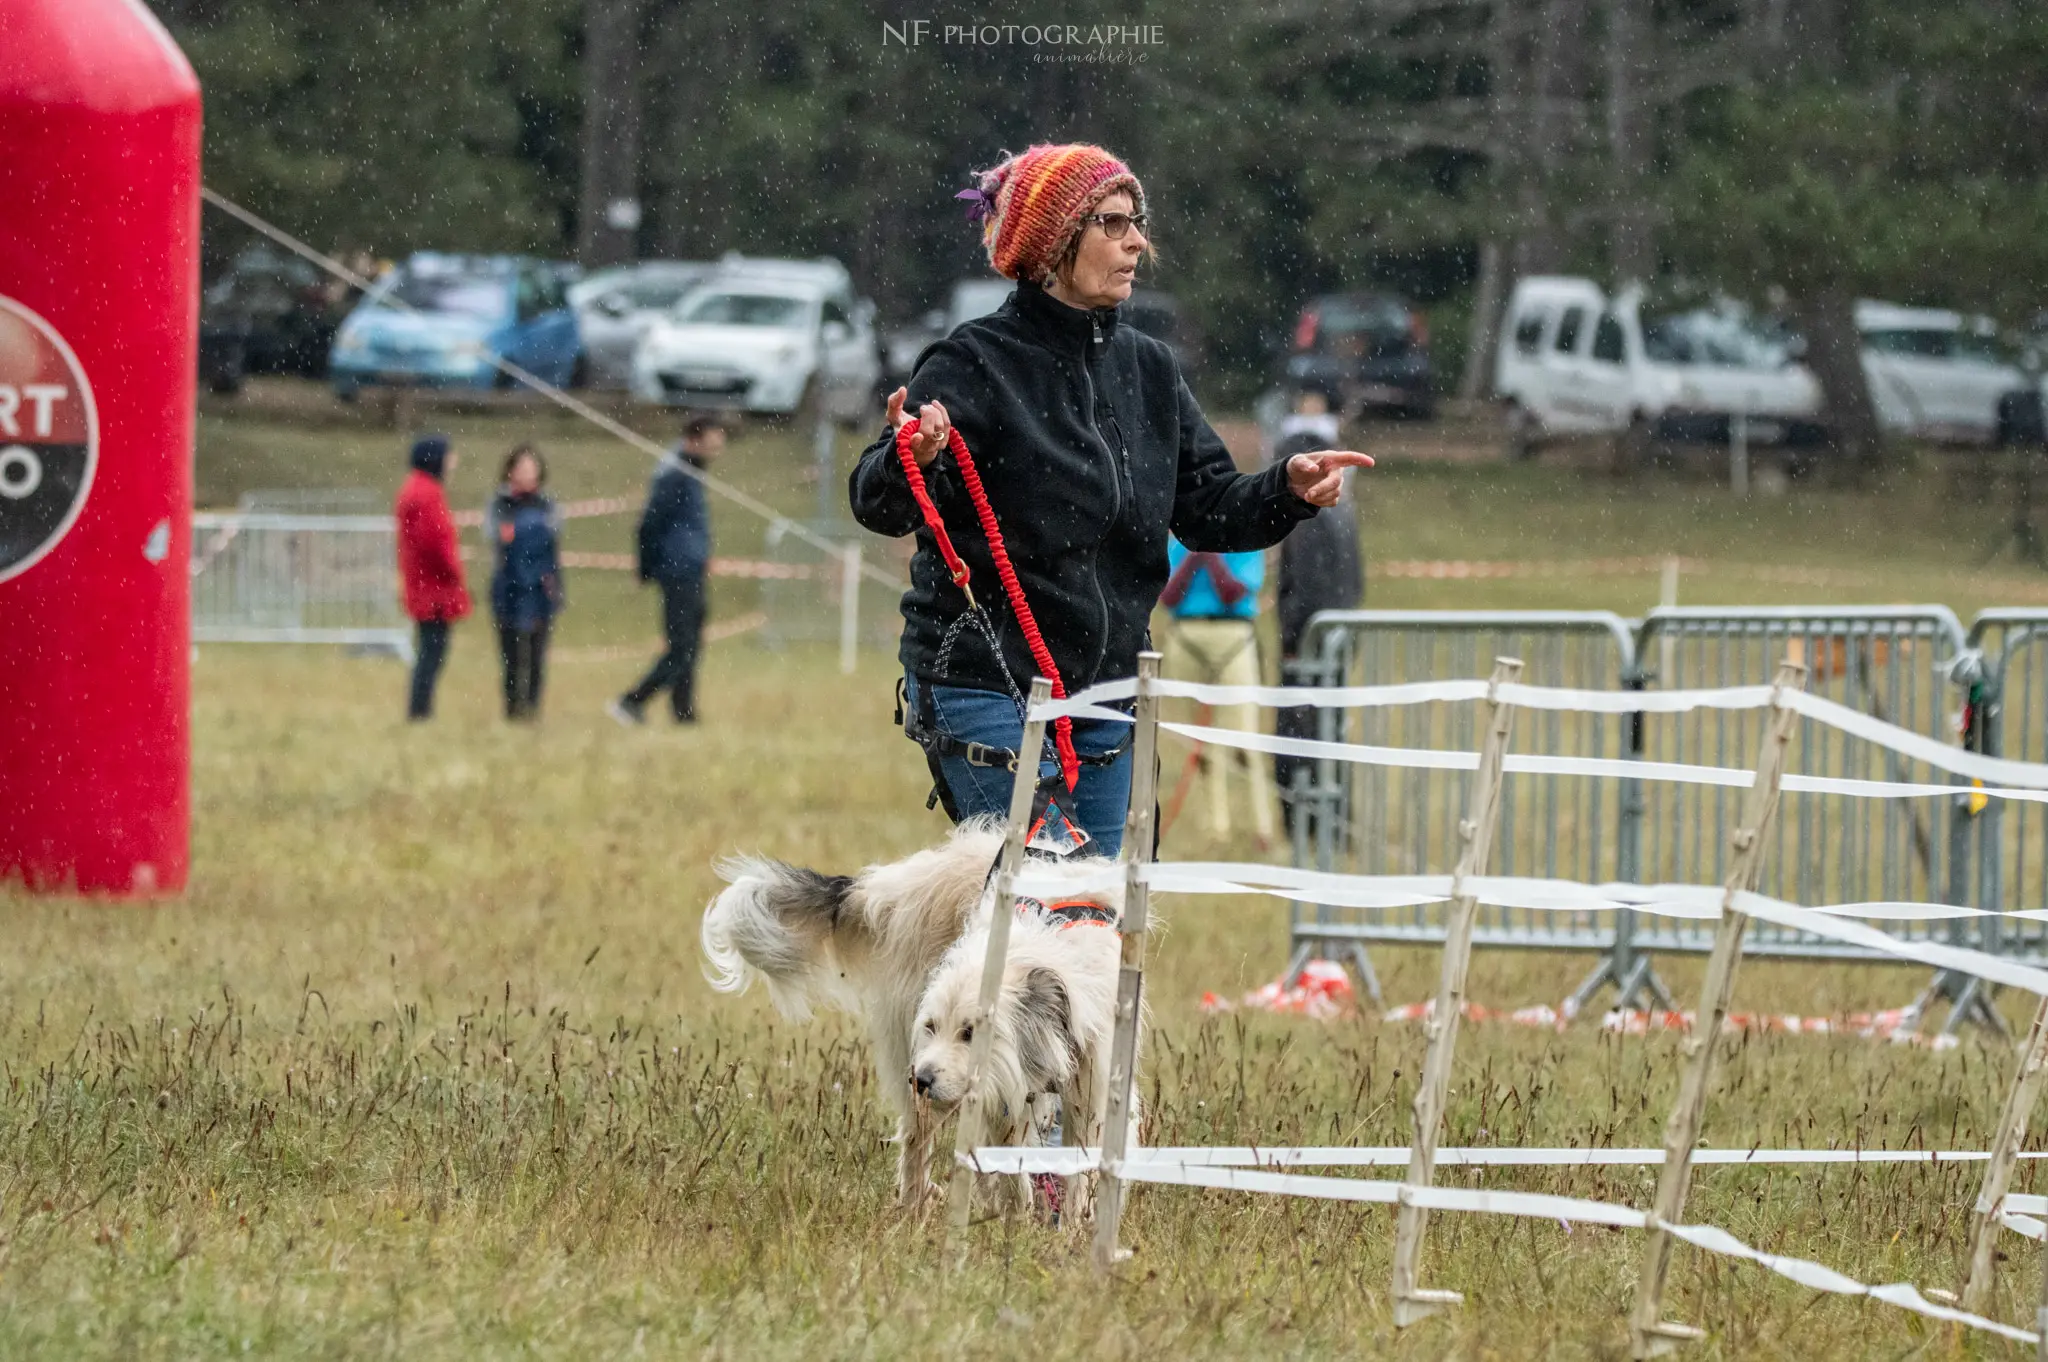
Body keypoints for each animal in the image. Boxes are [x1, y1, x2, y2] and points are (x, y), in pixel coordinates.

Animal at [704, 819, 1138, 1212]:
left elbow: (1083, 1165)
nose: (922, 1080)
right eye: (932, 1026)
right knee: (916, 1137)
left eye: (971, 1032)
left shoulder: (1089, 1089)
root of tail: (899, 883)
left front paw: (1071, 1226)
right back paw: (915, 1209)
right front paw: (1015, 1229)